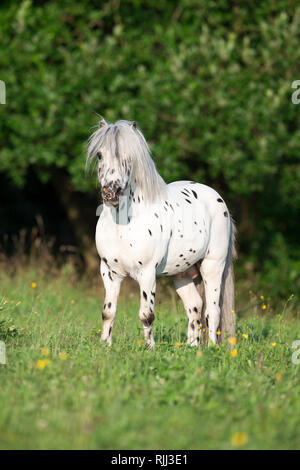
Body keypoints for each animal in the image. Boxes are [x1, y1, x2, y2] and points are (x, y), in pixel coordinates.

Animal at [86, 119, 237, 348]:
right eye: (100, 155)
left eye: (129, 157)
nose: (110, 192)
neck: (124, 225)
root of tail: (217, 198)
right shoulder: (109, 272)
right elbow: (108, 312)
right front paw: (105, 346)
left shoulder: (147, 273)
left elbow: (146, 315)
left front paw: (149, 348)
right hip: (183, 273)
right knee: (194, 307)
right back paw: (192, 348)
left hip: (213, 266)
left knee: (212, 311)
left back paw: (211, 348)